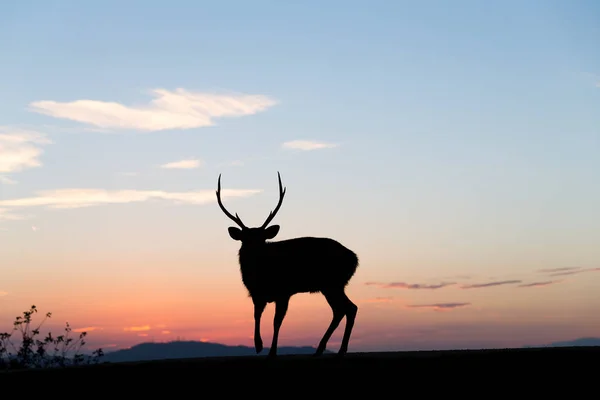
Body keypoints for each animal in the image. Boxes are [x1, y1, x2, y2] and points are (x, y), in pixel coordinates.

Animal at [216, 172, 356, 360]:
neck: (259, 277)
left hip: (332, 283)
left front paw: (272, 351)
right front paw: (258, 345)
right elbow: (256, 315)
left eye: (262, 239)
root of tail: (354, 259)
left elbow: (277, 321)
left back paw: (337, 350)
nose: (255, 251)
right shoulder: (257, 294)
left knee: (347, 308)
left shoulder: (284, 292)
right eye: (245, 239)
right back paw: (323, 349)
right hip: (332, 285)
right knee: (343, 309)